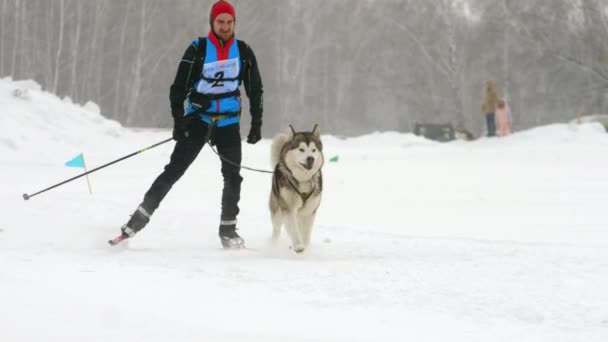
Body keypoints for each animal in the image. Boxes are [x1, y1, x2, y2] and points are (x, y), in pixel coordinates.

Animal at [270, 124, 326, 252]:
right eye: (301, 149)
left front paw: (305, 245)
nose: (310, 158)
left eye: (313, 150)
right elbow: (294, 229)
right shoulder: (288, 208)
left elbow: (305, 231)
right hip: (277, 210)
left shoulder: (309, 210)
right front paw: (298, 246)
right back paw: (273, 245)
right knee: (276, 229)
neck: (302, 179)